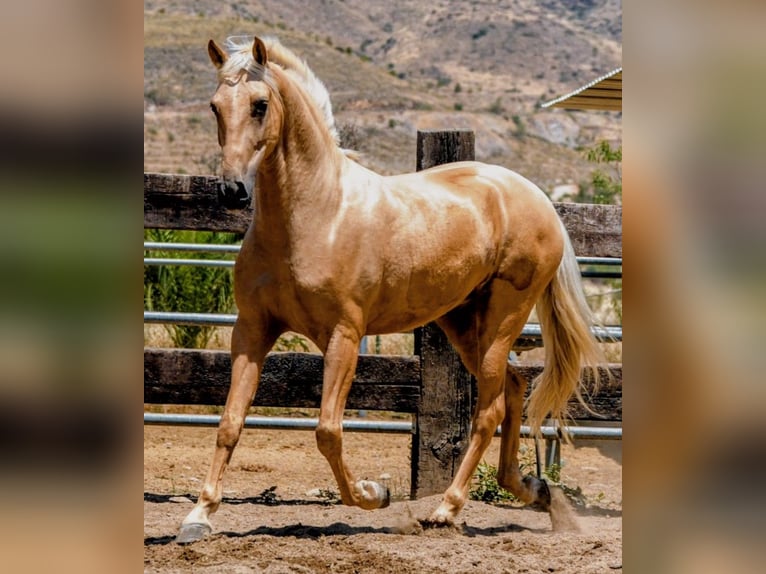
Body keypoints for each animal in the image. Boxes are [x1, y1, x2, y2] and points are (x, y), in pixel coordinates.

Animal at [176, 35, 605, 543]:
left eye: (260, 105)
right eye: (215, 106)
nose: (232, 191)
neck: (317, 214)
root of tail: (538, 199)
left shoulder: (344, 336)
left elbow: (328, 431)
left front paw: (373, 494)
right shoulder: (251, 330)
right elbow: (229, 422)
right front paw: (198, 516)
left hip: (504, 317)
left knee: (490, 410)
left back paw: (446, 510)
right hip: (463, 323)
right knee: (515, 389)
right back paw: (533, 490)